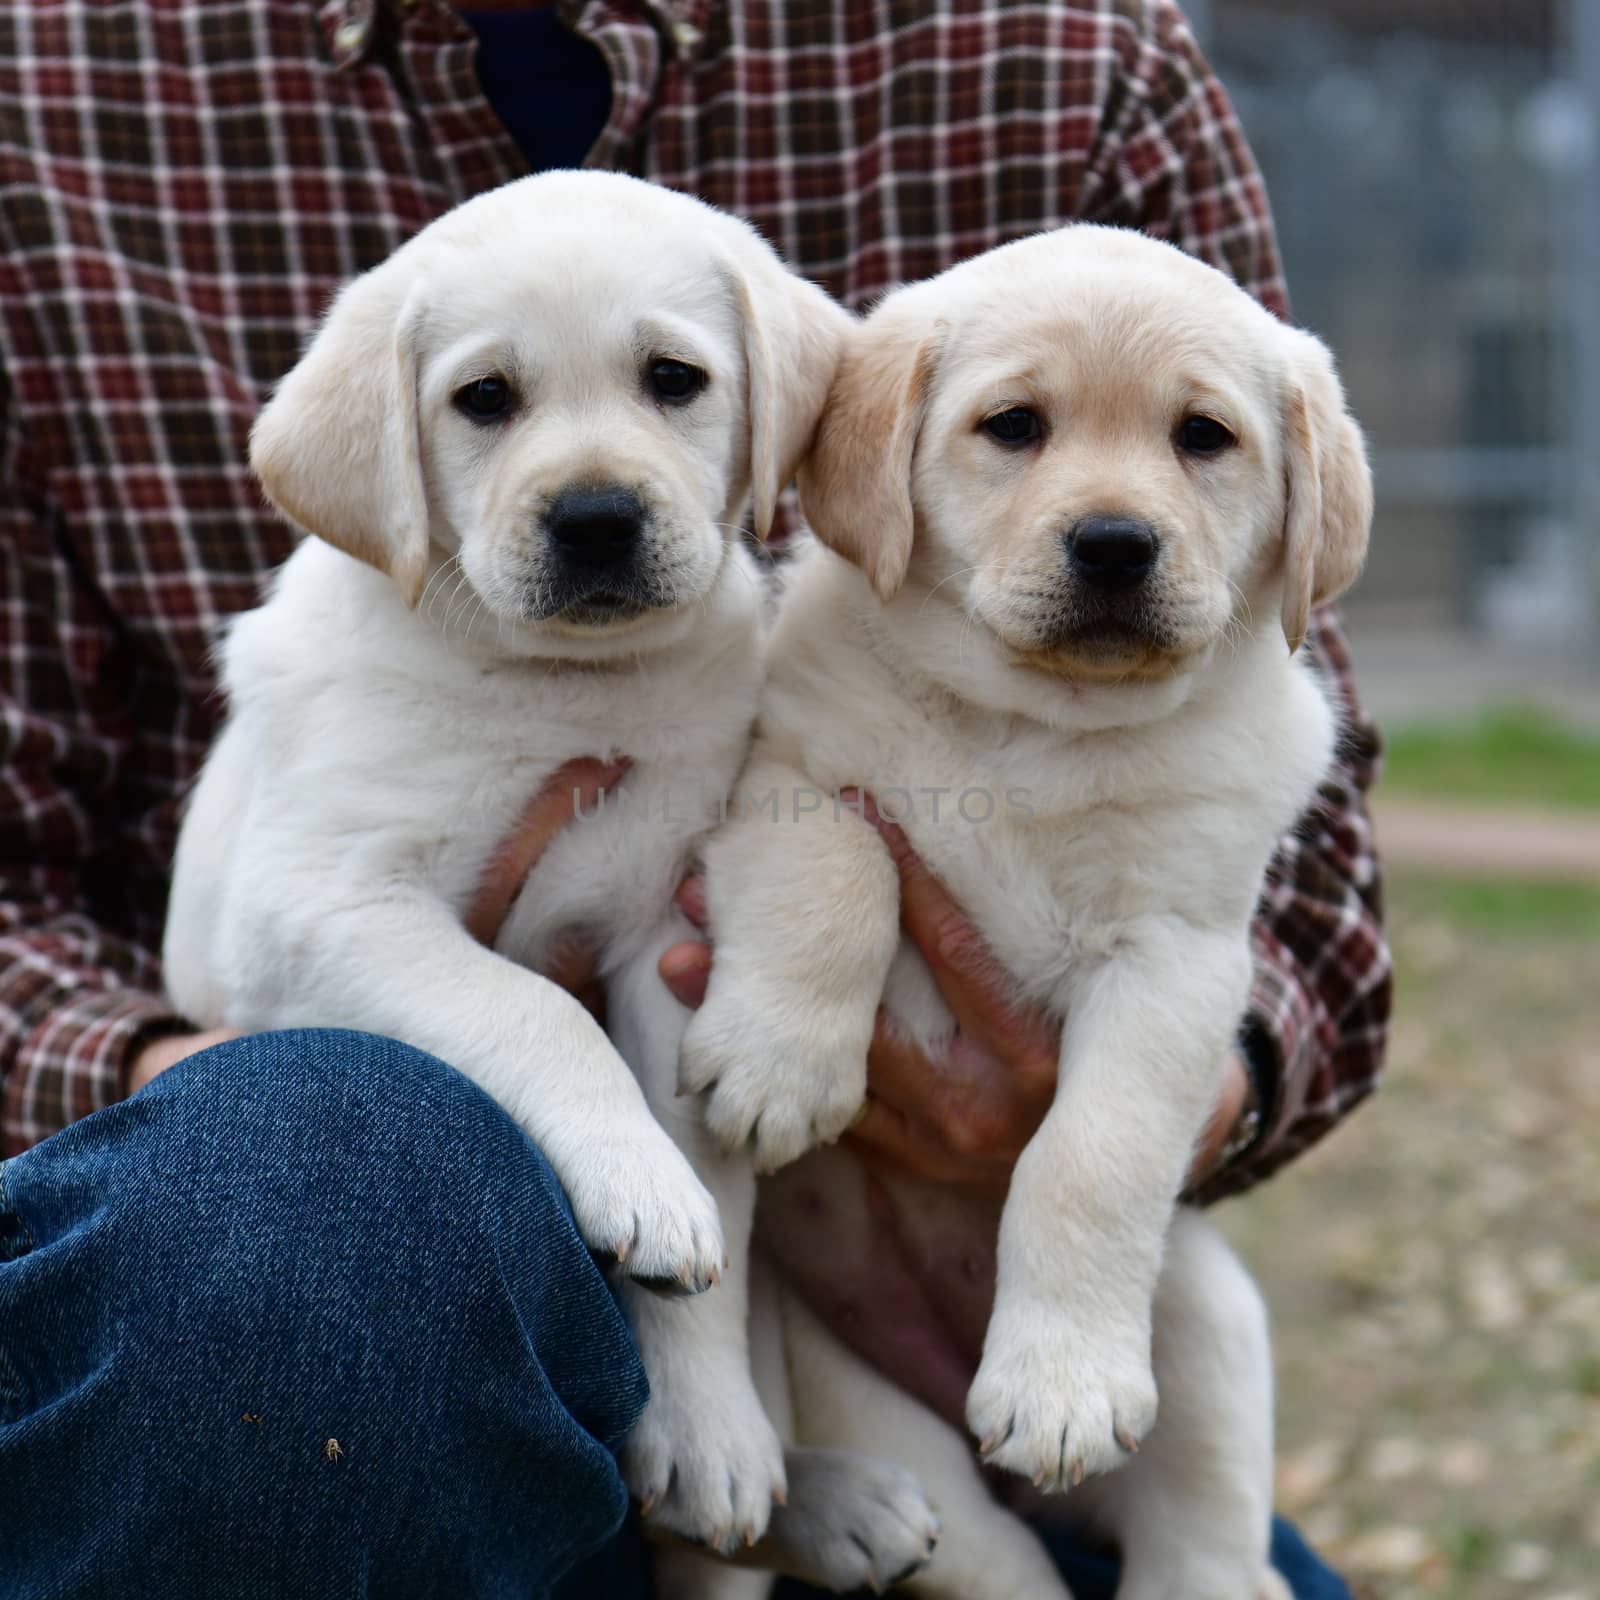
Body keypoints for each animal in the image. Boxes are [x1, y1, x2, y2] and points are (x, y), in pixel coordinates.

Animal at [681, 225, 1369, 1600]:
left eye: (1202, 437)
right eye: (1013, 426)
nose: (1113, 543)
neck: (1040, 730)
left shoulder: (1175, 961)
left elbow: (1088, 1157)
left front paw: (1060, 1387)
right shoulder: (786, 781)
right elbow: (840, 875)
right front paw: (781, 1066)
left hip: (1204, 1322)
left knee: (1199, 1533)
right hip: (881, 1422)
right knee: (989, 1558)